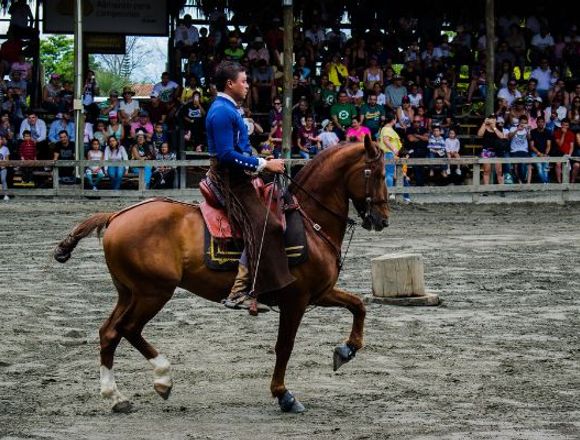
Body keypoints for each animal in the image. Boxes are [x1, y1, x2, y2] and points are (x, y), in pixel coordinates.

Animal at [54, 136, 390, 414]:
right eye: (378, 174)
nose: (383, 220)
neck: (311, 223)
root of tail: (116, 216)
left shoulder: (319, 293)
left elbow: (358, 305)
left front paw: (346, 350)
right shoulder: (296, 300)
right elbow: (284, 346)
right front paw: (283, 395)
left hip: (129, 292)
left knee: (109, 332)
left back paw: (117, 397)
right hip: (153, 292)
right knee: (128, 329)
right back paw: (162, 378)